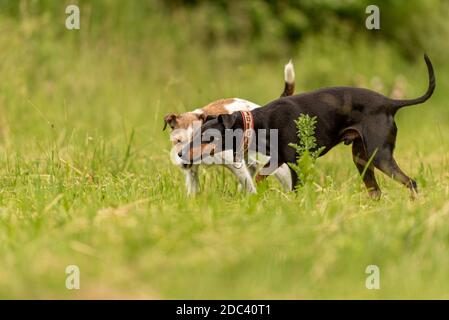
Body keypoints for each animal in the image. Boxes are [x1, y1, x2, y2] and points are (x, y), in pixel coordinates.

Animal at [164, 60, 294, 195]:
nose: (184, 161)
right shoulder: (192, 170)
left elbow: (248, 184)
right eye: (178, 140)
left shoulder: (233, 162)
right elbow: (193, 187)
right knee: (254, 166)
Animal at [181, 55, 434, 198]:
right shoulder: (275, 162)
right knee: (376, 191)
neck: (257, 123)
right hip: (362, 160)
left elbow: (294, 191)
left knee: (410, 182)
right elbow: (258, 180)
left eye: (207, 137)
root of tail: (390, 103)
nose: (181, 154)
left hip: (380, 156)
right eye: (196, 135)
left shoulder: (296, 165)